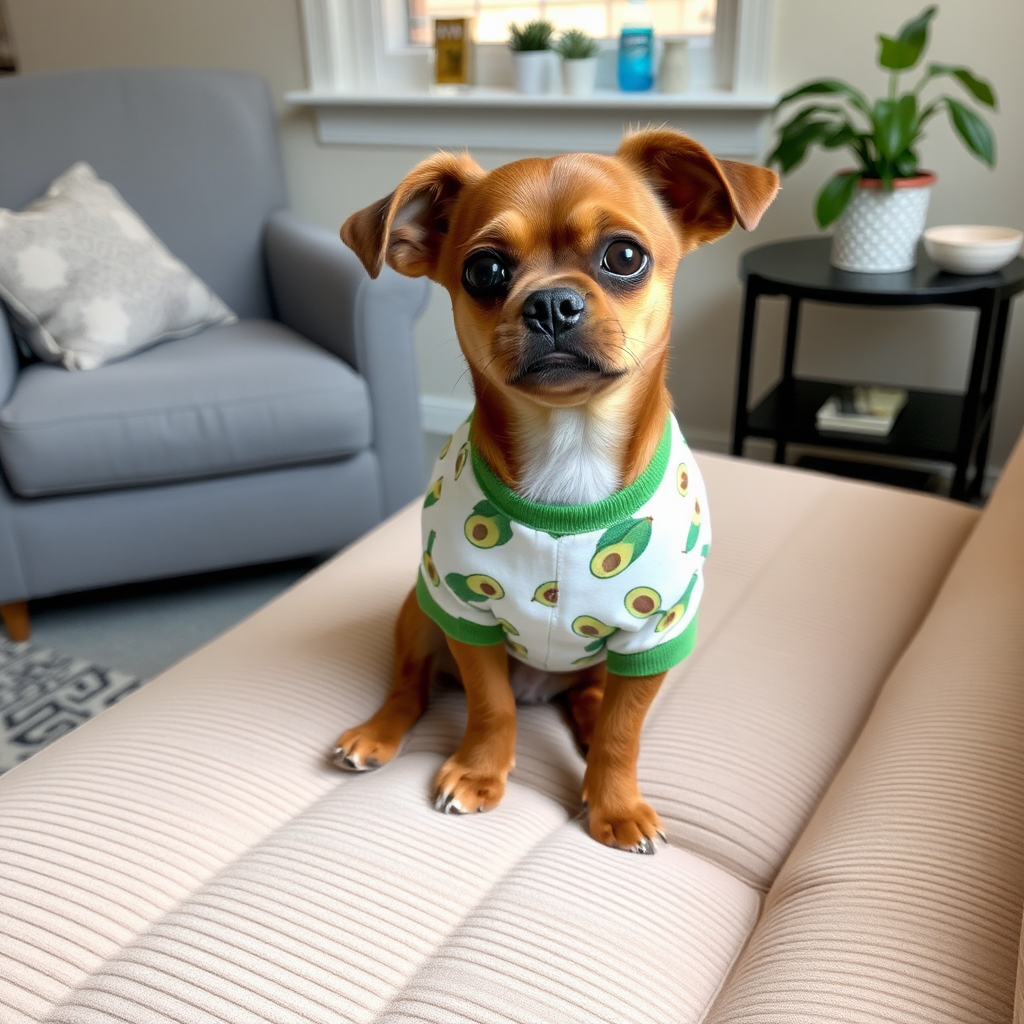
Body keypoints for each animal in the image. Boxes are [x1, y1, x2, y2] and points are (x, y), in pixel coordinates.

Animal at [335, 128, 774, 851]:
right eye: (484, 271)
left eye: (624, 256)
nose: (549, 303)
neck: (570, 449)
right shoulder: (467, 616)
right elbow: (489, 707)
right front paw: (480, 772)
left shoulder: (654, 633)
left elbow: (626, 731)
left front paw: (615, 802)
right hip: (419, 611)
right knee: (412, 686)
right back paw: (376, 734)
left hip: (602, 657)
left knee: (595, 698)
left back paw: (589, 726)